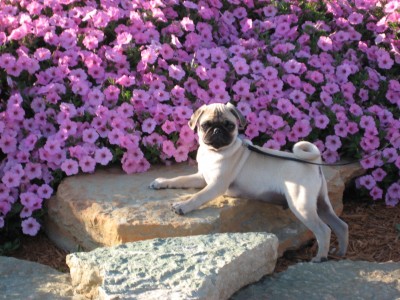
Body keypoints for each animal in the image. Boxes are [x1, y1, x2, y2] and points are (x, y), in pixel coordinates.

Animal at [149, 103, 346, 262]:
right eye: (206, 125)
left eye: (229, 125)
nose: (217, 131)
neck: (213, 152)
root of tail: (315, 162)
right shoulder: (201, 177)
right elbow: (179, 179)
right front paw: (161, 182)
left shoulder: (216, 185)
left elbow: (198, 197)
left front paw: (183, 205)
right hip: (321, 203)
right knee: (341, 225)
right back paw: (341, 252)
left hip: (302, 206)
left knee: (324, 230)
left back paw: (320, 257)